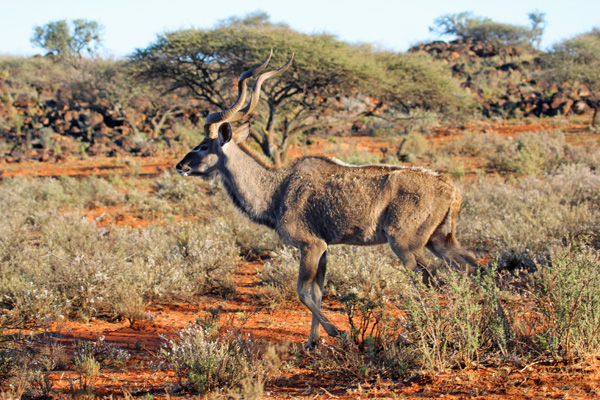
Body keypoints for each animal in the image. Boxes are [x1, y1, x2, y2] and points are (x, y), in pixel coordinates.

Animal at [176, 51, 480, 348]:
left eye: (203, 146)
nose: (181, 166)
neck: (277, 188)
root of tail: (451, 189)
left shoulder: (311, 245)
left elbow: (303, 292)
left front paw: (339, 333)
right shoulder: (323, 249)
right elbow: (317, 292)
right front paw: (312, 342)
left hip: (405, 245)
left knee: (426, 281)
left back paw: (413, 335)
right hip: (439, 241)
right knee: (472, 266)